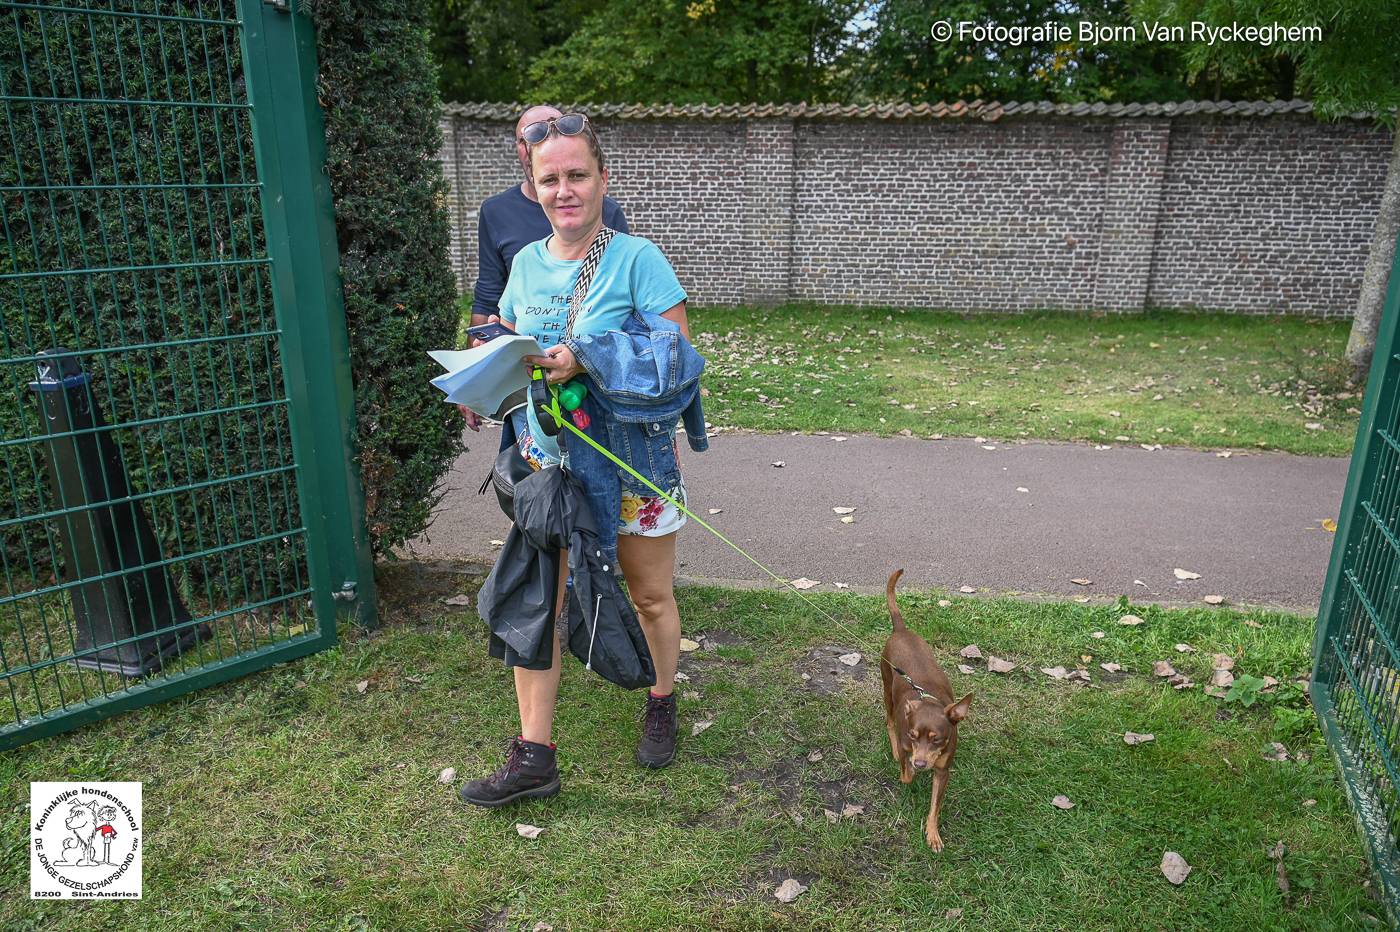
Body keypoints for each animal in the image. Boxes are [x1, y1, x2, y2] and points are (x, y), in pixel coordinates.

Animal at [873, 565, 974, 850]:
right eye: (913, 735)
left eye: (937, 739)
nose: (920, 763)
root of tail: (901, 629)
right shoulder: (908, 748)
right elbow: (905, 774)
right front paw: (907, 769)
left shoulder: (943, 770)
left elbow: (935, 807)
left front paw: (933, 834)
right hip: (886, 685)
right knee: (889, 720)